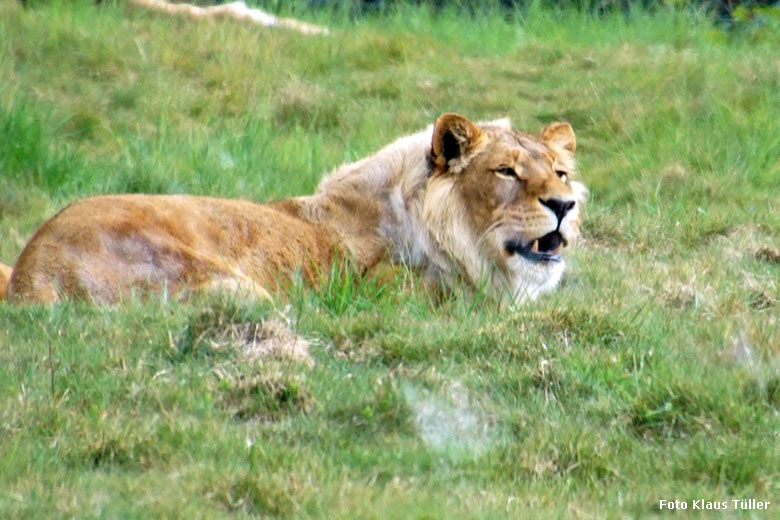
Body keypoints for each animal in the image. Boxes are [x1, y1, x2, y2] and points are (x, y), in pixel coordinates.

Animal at [3, 111, 580, 302]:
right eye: (506, 172)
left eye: (559, 172)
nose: (564, 205)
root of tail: (31, 271)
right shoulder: (387, 293)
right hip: (234, 289)